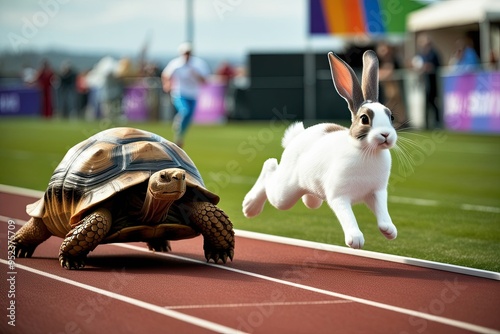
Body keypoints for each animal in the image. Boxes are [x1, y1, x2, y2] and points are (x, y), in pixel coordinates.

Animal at [242, 49, 398, 248]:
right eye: (364, 119)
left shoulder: (377, 192)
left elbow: (382, 210)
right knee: (269, 170)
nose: (386, 135)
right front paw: (355, 239)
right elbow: (347, 215)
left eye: (391, 117)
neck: (367, 151)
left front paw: (389, 231)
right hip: (284, 193)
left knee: (309, 199)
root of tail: (296, 137)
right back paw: (249, 207)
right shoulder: (339, 196)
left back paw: (309, 199)